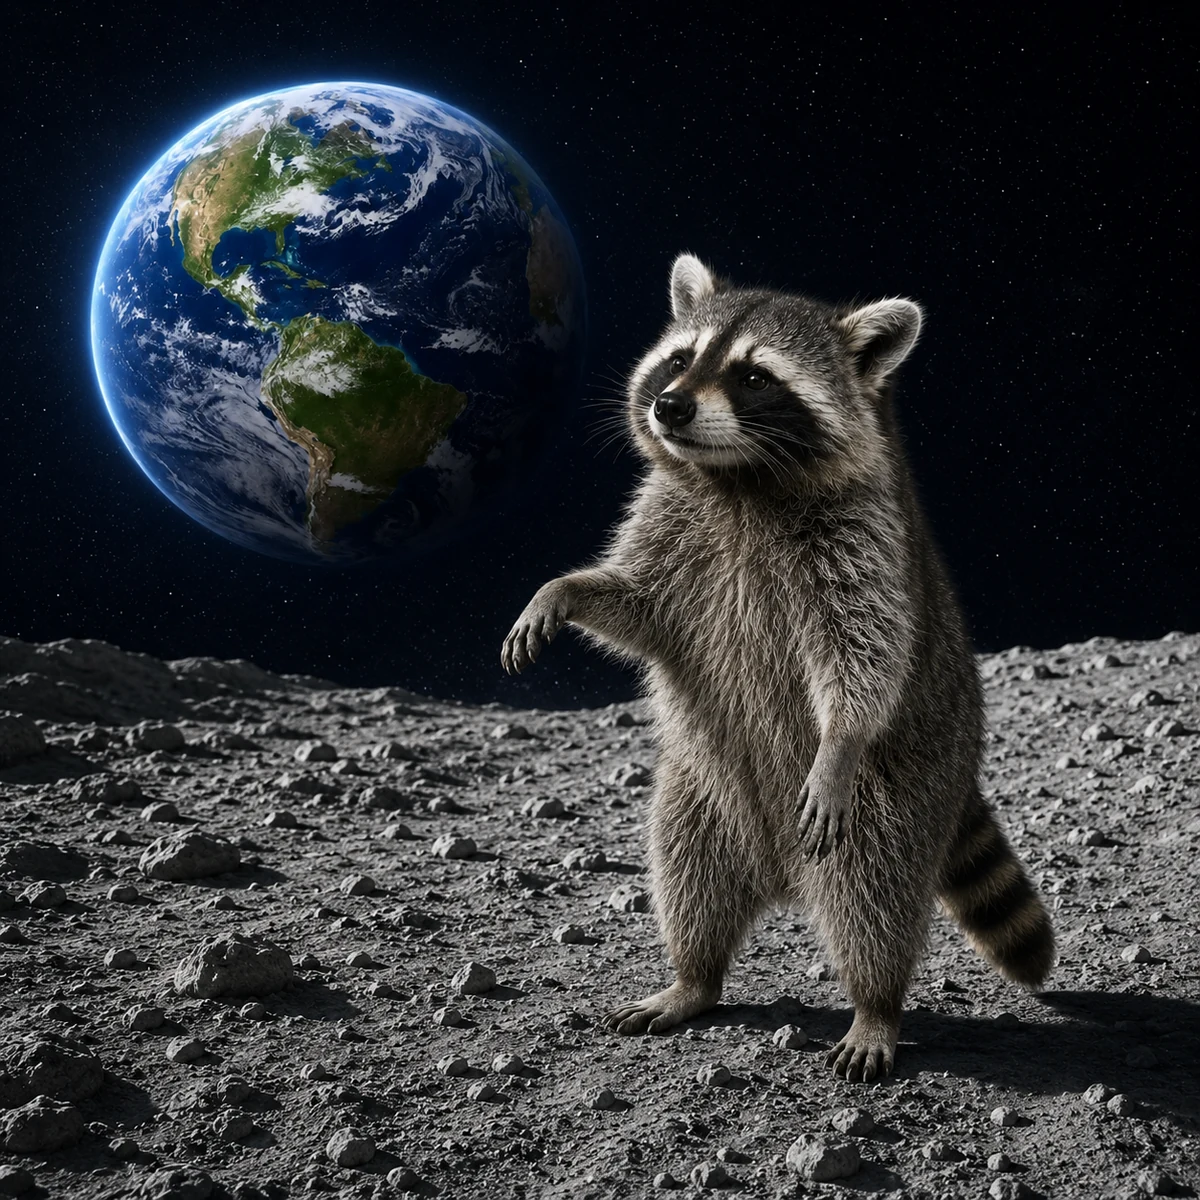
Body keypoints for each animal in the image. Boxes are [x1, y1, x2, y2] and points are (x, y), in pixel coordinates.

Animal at [501, 254, 1055, 1081]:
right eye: (679, 359)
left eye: (754, 376)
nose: (668, 406)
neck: (736, 478)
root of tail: (779, 873)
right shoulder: (669, 521)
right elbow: (637, 606)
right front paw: (561, 589)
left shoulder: (862, 540)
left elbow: (864, 656)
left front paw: (840, 738)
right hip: (702, 797)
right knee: (685, 874)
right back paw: (694, 977)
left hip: (894, 804)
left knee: (874, 903)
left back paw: (876, 1005)